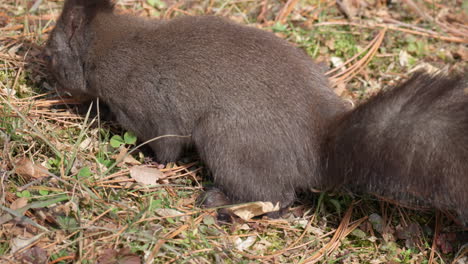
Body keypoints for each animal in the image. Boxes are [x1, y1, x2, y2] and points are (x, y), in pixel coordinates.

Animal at [44, 0, 468, 224]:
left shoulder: (148, 106)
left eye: (50, 51)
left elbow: (167, 146)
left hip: (227, 138)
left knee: (276, 196)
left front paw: (138, 156)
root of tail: (315, 147)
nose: (42, 75)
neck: (108, 47)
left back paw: (223, 203)